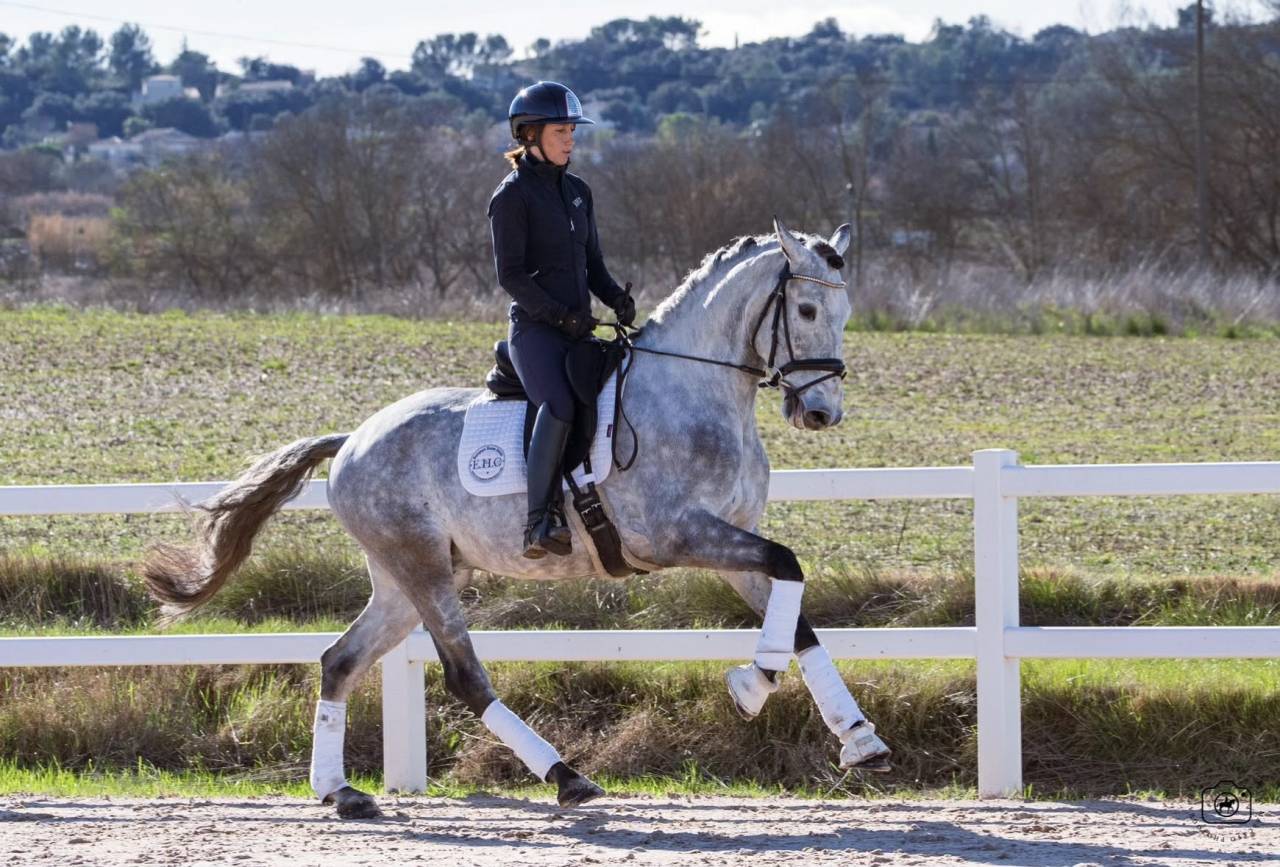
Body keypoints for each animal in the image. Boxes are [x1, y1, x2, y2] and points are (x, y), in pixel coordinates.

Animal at [143, 217, 892, 819]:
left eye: (846, 311)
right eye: (804, 307)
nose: (821, 413)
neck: (695, 386)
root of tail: (353, 438)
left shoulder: (730, 543)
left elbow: (794, 611)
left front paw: (858, 737)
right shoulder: (676, 534)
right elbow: (788, 566)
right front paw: (749, 684)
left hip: (405, 578)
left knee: (339, 661)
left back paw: (340, 792)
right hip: (422, 568)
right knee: (464, 677)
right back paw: (566, 777)